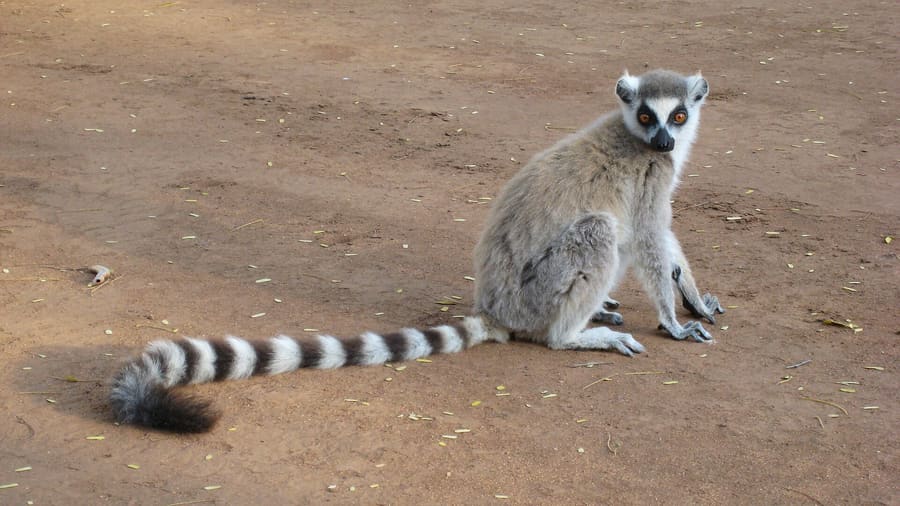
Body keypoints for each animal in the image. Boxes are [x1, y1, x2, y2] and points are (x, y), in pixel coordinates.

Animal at [110, 69, 724, 433]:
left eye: (679, 115)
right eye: (647, 115)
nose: (665, 139)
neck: (643, 144)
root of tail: (497, 307)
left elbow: (664, 245)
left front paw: (692, 295)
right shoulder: (649, 175)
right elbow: (648, 238)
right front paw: (672, 321)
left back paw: (601, 309)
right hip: (540, 290)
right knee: (601, 232)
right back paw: (573, 334)